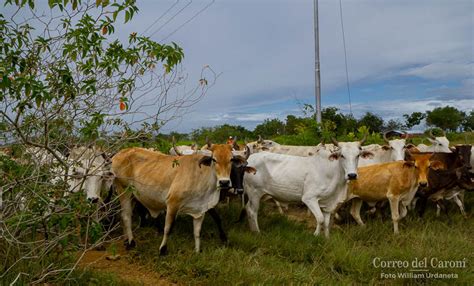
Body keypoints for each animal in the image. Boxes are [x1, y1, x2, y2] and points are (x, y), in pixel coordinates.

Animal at [111, 144, 248, 254]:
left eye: (231, 159)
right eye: (214, 159)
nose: (224, 182)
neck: (201, 175)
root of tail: (118, 153)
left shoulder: (200, 209)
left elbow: (197, 232)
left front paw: (197, 251)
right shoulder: (172, 203)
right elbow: (168, 228)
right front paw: (162, 250)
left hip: (132, 195)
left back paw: (126, 240)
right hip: (123, 189)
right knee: (126, 215)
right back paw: (131, 242)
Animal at [244, 136, 374, 237]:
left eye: (358, 155)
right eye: (342, 155)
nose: (352, 175)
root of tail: (250, 159)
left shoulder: (328, 203)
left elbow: (326, 223)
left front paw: (327, 238)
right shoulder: (309, 198)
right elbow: (320, 220)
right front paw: (315, 235)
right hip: (254, 193)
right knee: (251, 211)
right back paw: (257, 232)